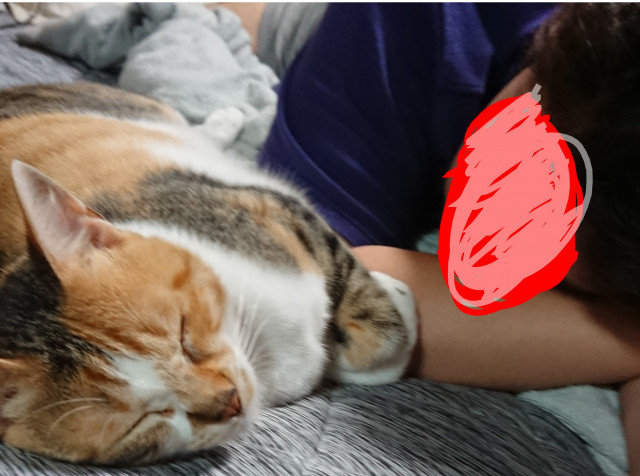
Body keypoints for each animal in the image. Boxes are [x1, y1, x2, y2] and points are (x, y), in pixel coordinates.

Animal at [0, 83, 417, 465]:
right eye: (145, 419)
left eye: (184, 334)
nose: (230, 400)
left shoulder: (274, 212)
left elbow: (373, 330)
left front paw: (395, 307)